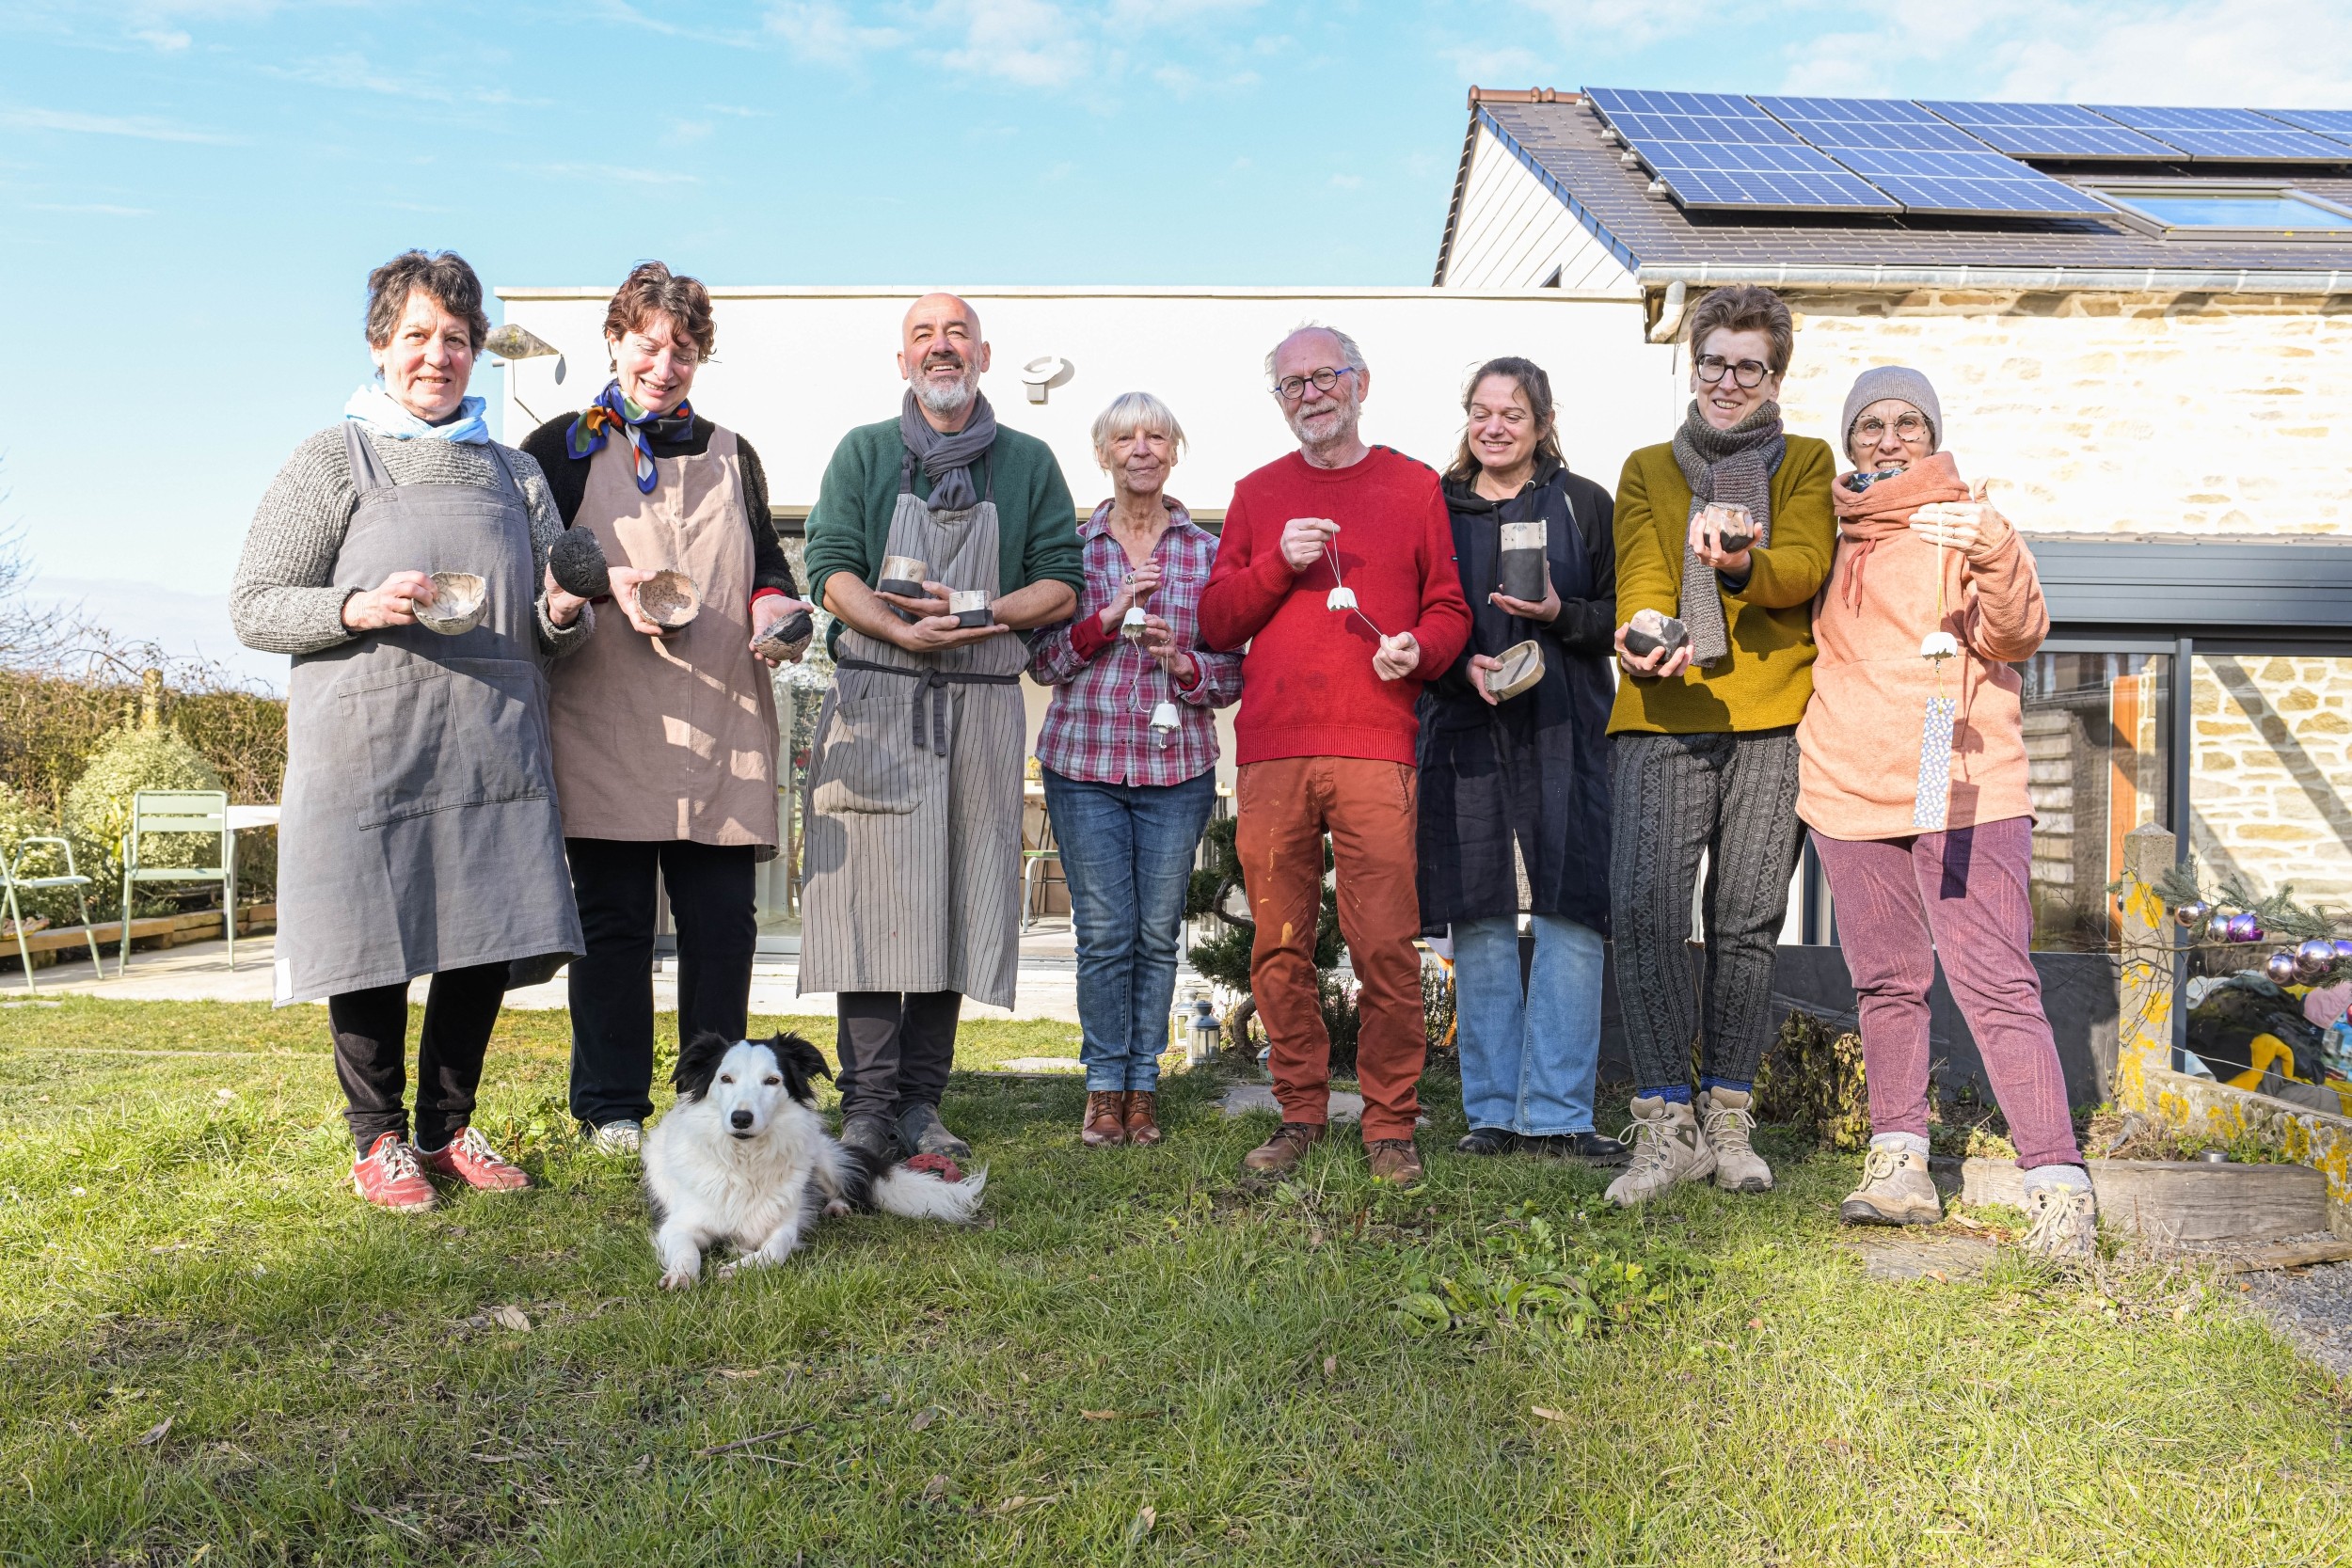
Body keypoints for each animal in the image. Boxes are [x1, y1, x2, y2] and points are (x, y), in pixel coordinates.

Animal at [640, 1029, 988, 1288]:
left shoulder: (784, 1223)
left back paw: (837, 1206)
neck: (745, 1161)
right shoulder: (678, 1225)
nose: (741, 1119)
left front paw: (741, 1266)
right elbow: (687, 1251)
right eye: (725, 1079)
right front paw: (681, 1275)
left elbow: (776, 1248)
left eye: (772, 1080)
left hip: (821, 1158)